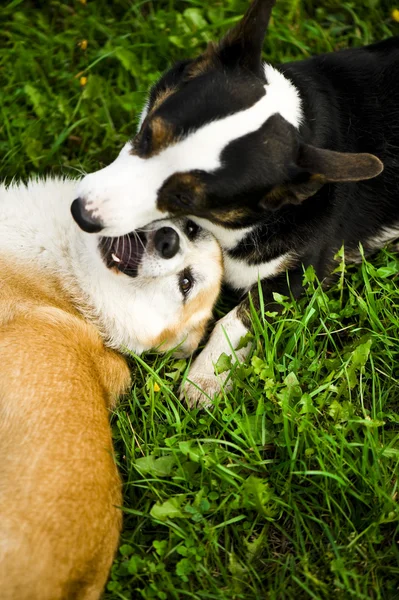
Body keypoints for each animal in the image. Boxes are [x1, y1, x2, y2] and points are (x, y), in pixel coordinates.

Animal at [72, 0, 399, 406]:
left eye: (185, 197)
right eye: (147, 134)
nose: (80, 213)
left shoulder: (299, 276)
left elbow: (238, 316)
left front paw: (205, 378)